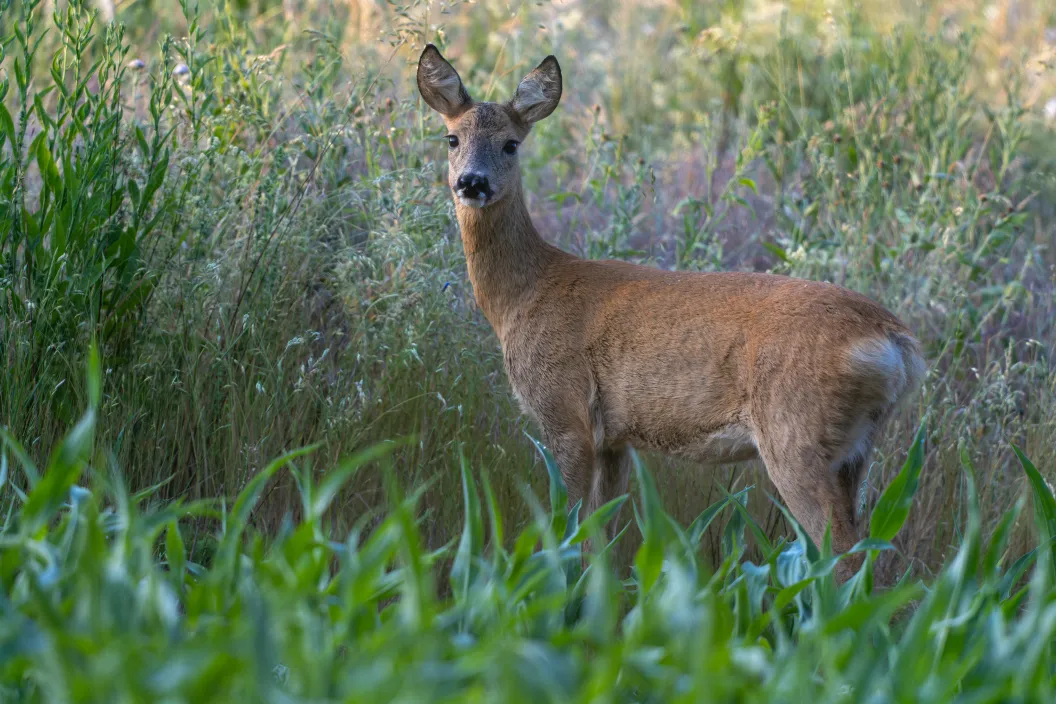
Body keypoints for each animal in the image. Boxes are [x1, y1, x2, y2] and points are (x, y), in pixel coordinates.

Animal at [416, 45, 929, 582]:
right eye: (452, 137)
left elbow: (567, 529)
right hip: (856, 449)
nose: (472, 182)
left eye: (511, 144)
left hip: (797, 434)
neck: (524, 295)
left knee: (845, 556)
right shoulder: (614, 439)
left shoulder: (563, 408)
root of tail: (898, 344)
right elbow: (599, 540)